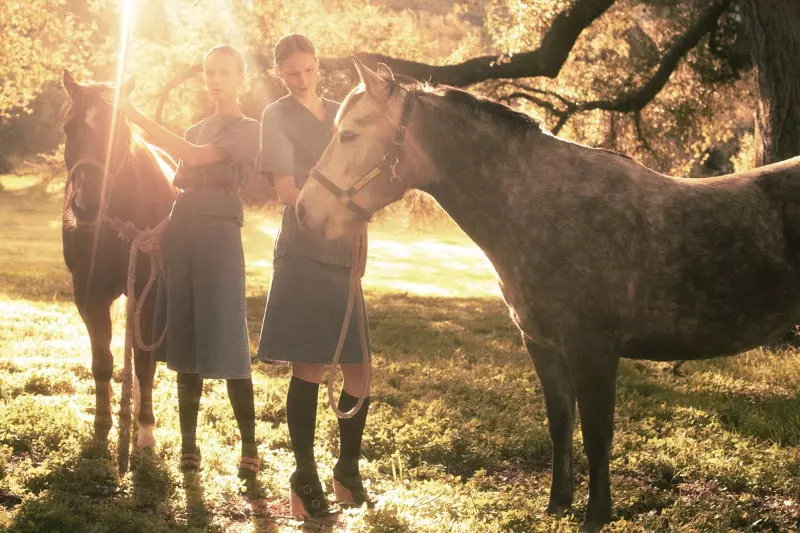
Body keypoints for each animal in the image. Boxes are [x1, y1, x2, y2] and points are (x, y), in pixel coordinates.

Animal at [61, 69, 177, 454]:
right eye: (68, 128)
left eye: (121, 133)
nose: (87, 205)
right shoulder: (88, 294)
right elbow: (102, 361)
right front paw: (101, 427)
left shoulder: (150, 294)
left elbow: (143, 363)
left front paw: (145, 432)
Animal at [296, 60, 800, 528]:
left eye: (349, 134)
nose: (303, 212)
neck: (544, 208)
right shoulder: (542, 345)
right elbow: (561, 423)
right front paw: (558, 504)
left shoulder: (592, 350)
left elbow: (597, 433)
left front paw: (596, 514)